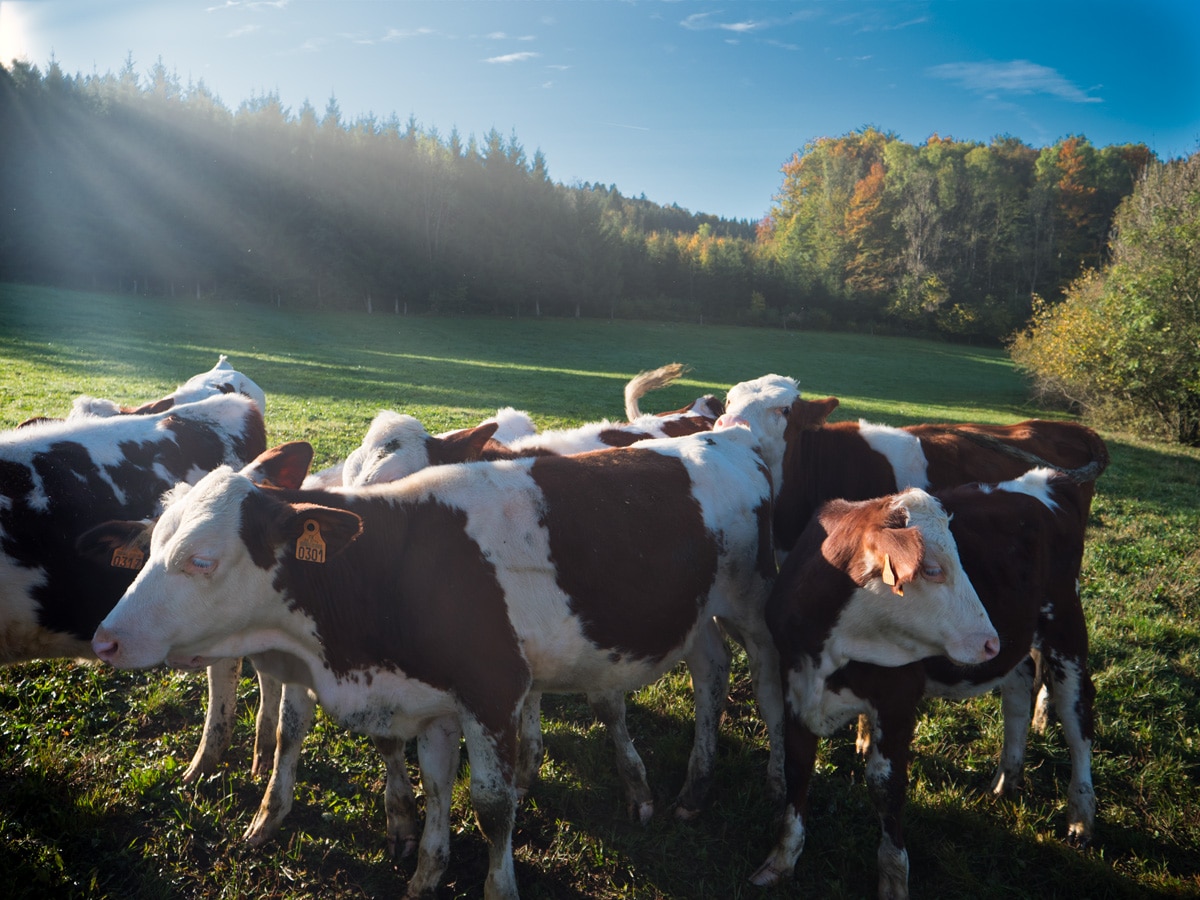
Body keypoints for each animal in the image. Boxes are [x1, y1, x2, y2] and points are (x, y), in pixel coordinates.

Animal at [91, 432, 796, 900]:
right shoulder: (431, 702)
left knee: (769, 695)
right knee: (710, 674)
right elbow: (435, 788)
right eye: (150, 545)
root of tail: (725, 437)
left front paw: (498, 887)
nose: (105, 640)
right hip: (697, 617)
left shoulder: (493, 689)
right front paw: (425, 875)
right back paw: (692, 788)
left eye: (201, 560)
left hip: (757, 613)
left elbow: (491, 805)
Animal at [753, 472, 1099, 900]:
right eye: (932, 570)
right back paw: (1006, 779)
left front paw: (893, 878)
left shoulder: (898, 701)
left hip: (1065, 626)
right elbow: (797, 768)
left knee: (1076, 715)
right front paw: (782, 859)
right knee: (1018, 693)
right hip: (1023, 641)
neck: (828, 648)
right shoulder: (794, 684)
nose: (990, 641)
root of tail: (1047, 479)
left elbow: (885, 785)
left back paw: (1080, 817)